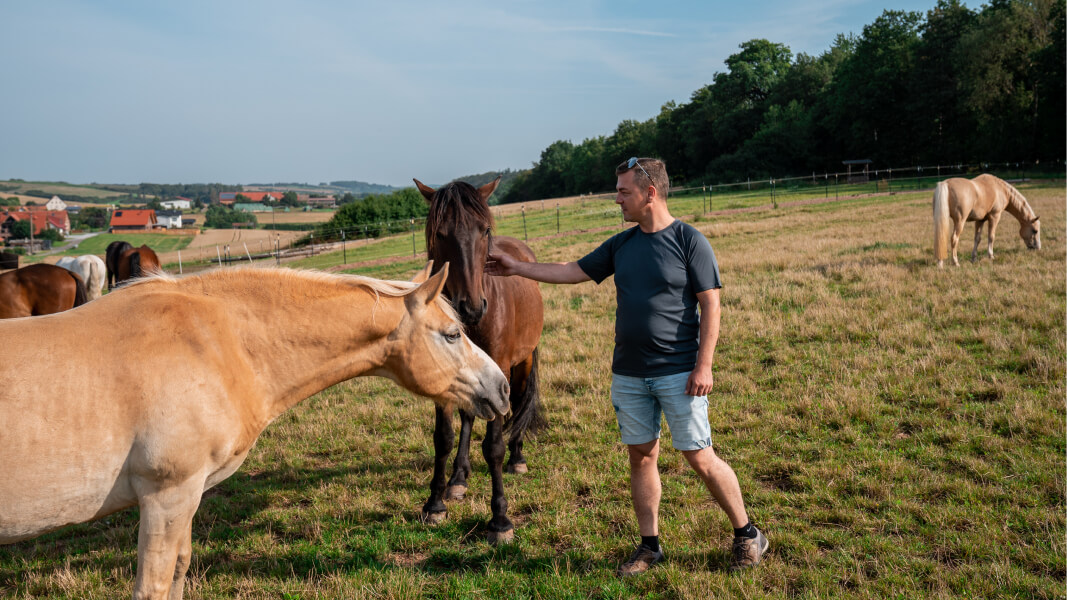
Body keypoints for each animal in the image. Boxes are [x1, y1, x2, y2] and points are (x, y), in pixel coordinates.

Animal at [0, 264, 509, 600]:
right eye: (451, 335)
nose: (502, 388)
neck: (215, 342)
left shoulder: (185, 498)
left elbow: (180, 571)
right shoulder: (166, 496)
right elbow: (156, 585)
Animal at [414, 177, 545, 545]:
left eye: (484, 229)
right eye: (440, 233)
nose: (471, 307)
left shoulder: (500, 371)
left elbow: (494, 446)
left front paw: (500, 519)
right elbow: (443, 437)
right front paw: (435, 503)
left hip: (522, 364)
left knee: (519, 404)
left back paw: (518, 456)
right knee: (469, 414)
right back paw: (459, 478)